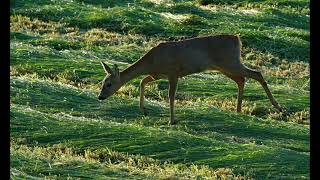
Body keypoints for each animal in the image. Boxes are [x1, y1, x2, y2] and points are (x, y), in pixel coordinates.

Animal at [98, 34, 282, 124]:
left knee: (256, 74)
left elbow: (171, 96)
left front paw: (172, 120)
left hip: (230, 62)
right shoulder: (158, 74)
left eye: (108, 84)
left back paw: (278, 107)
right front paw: (144, 110)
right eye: (102, 82)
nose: (100, 97)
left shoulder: (173, 72)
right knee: (241, 80)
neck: (152, 62)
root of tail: (237, 39)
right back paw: (238, 110)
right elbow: (143, 82)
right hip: (224, 65)